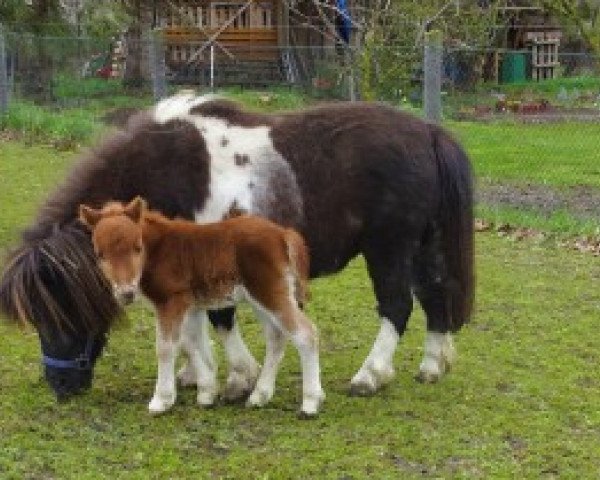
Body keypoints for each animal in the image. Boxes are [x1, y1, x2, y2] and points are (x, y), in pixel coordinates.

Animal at [80, 198, 326, 416]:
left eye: (137, 247)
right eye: (100, 254)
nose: (126, 293)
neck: (158, 251)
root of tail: (282, 234)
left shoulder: (171, 301)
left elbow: (166, 348)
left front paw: (161, 400)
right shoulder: (191, 306)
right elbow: (191, 343)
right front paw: (207, 392)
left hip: (270, 293)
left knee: (306, 334)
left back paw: (310, 404)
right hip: (261, 298)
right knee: (277, 336)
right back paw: (259, 396)